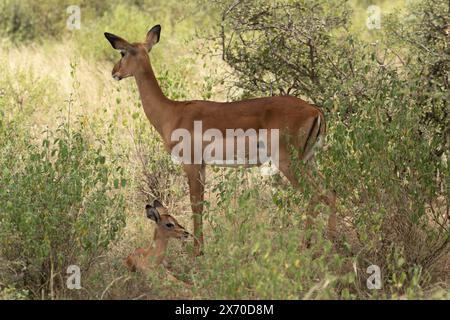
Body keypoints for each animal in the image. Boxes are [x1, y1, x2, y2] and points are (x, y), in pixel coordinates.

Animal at [105, 24, 336, 255]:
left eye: (122, 53)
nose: (114, 72)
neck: (171, 112)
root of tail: (315, 110)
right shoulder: (203, 166)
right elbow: (201, 203)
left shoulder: (191, 164)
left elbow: (195, 204)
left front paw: (197, 252)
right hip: (309, 160)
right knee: (330, 192)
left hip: (288, 162)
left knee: (314, 194)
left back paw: (307, 246)